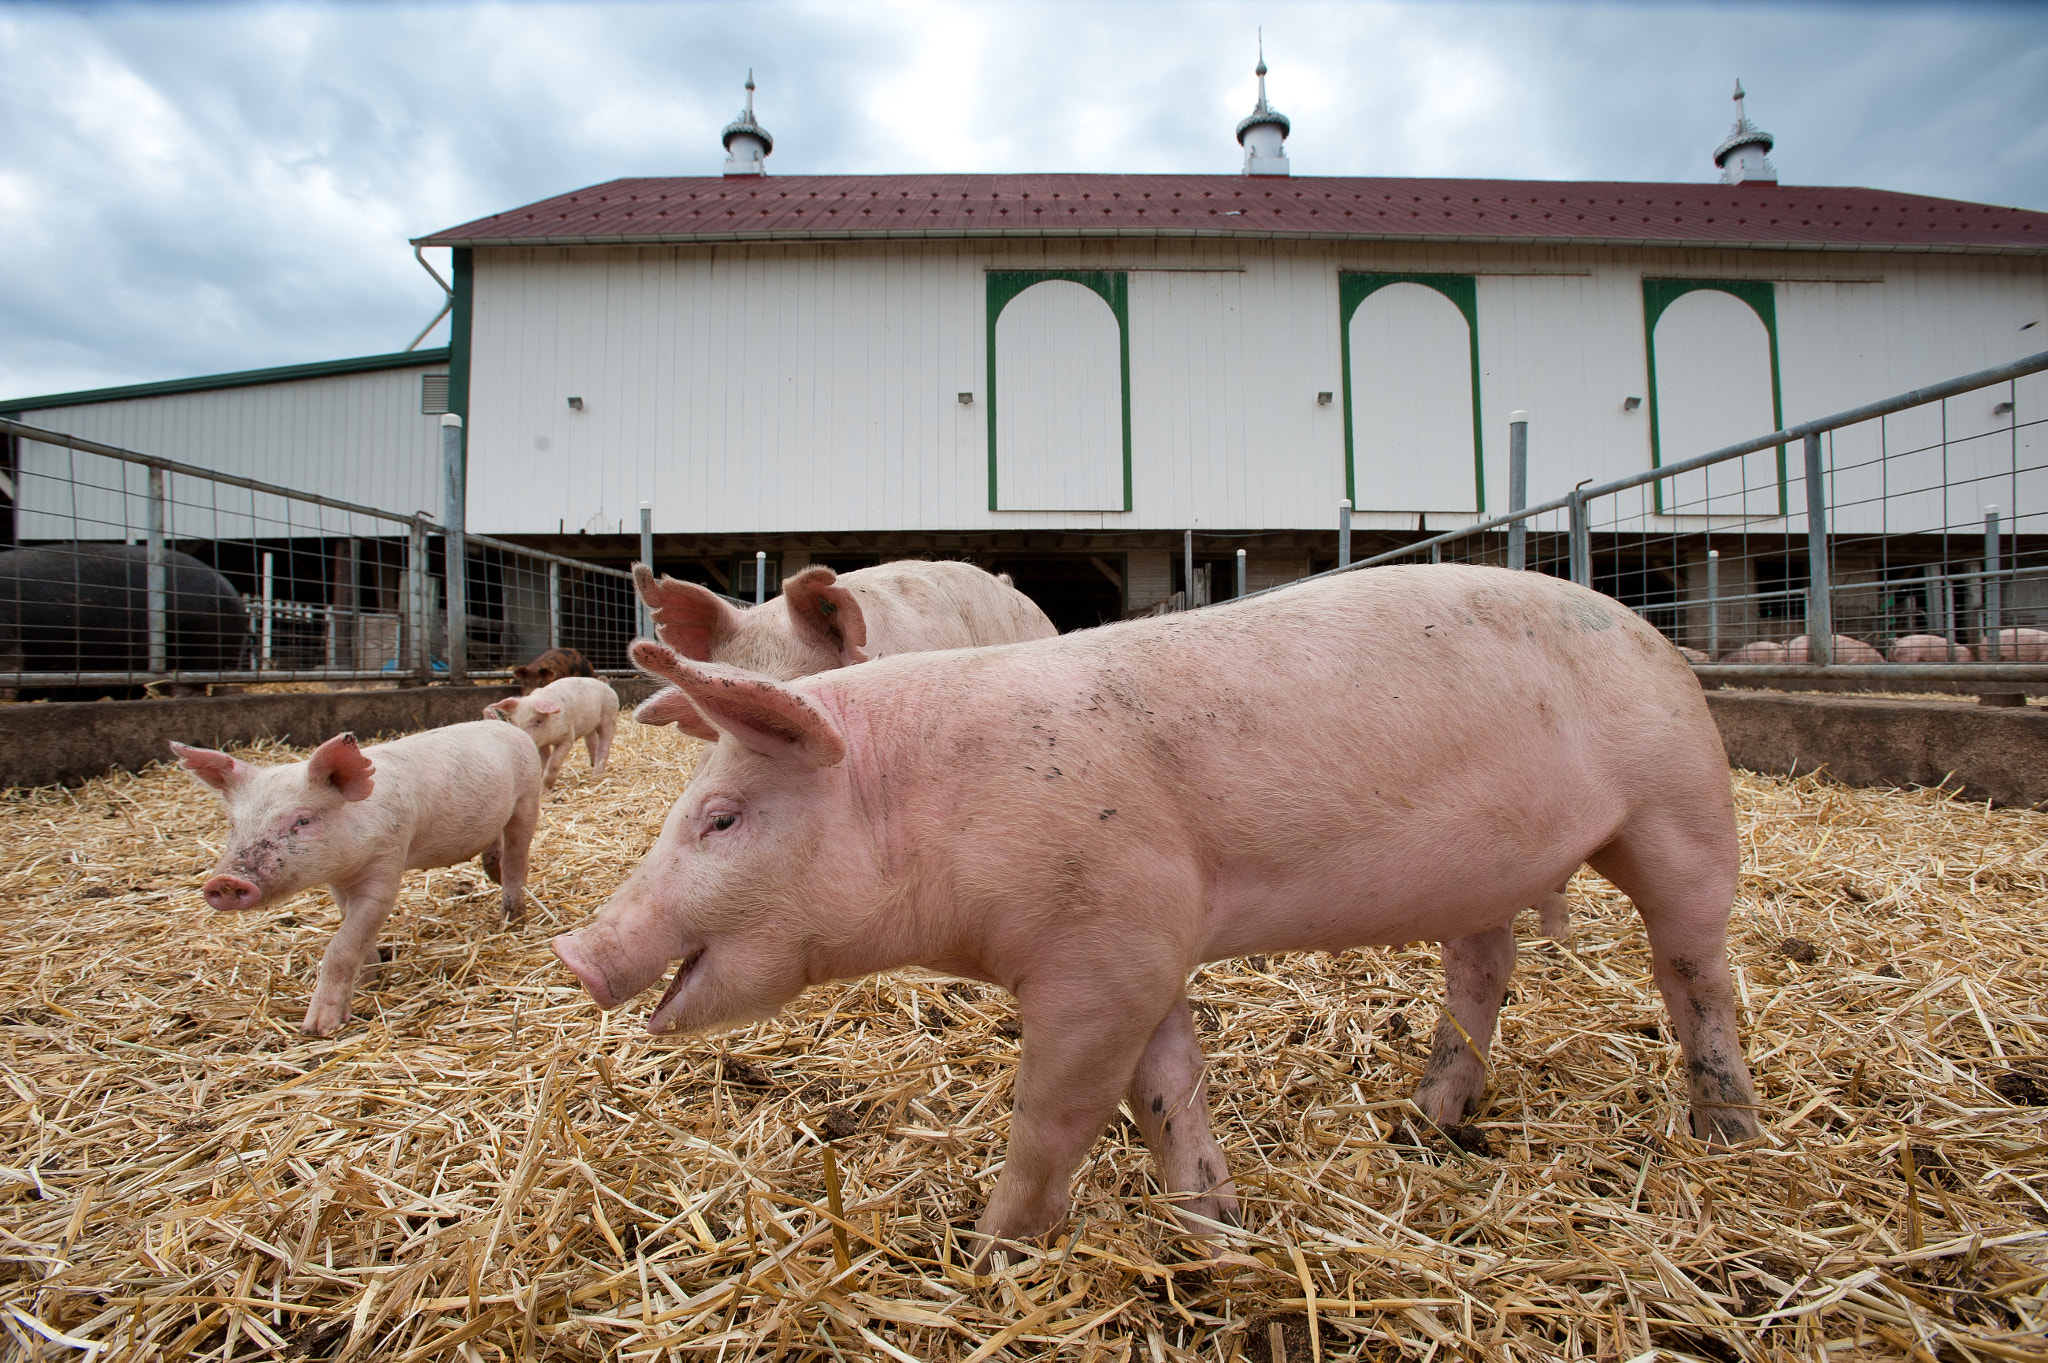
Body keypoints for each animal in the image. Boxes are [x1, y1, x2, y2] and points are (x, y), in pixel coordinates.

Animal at [175, 720, 540, 1031]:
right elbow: (352, 930)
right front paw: (368, 981)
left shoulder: (387, 861)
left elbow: (342, 944)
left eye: (303, 820)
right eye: (233, 824)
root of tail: (505, 726)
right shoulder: (338, 880)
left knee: (516, 858)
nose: (227, 882)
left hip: (527, 799)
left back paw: (512, 919)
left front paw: (318, 1028)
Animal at [483, 671, 618, 785]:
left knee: (603, 748)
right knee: (591, 742)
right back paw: (592, 765)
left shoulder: (567, 737)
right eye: (512, 720)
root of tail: (604, 683)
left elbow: (553, 763)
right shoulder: (541, 742)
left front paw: (546, 789)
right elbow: (544, 762)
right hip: (589, 725)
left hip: (609, 718)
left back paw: (595, 778)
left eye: (538, 721)